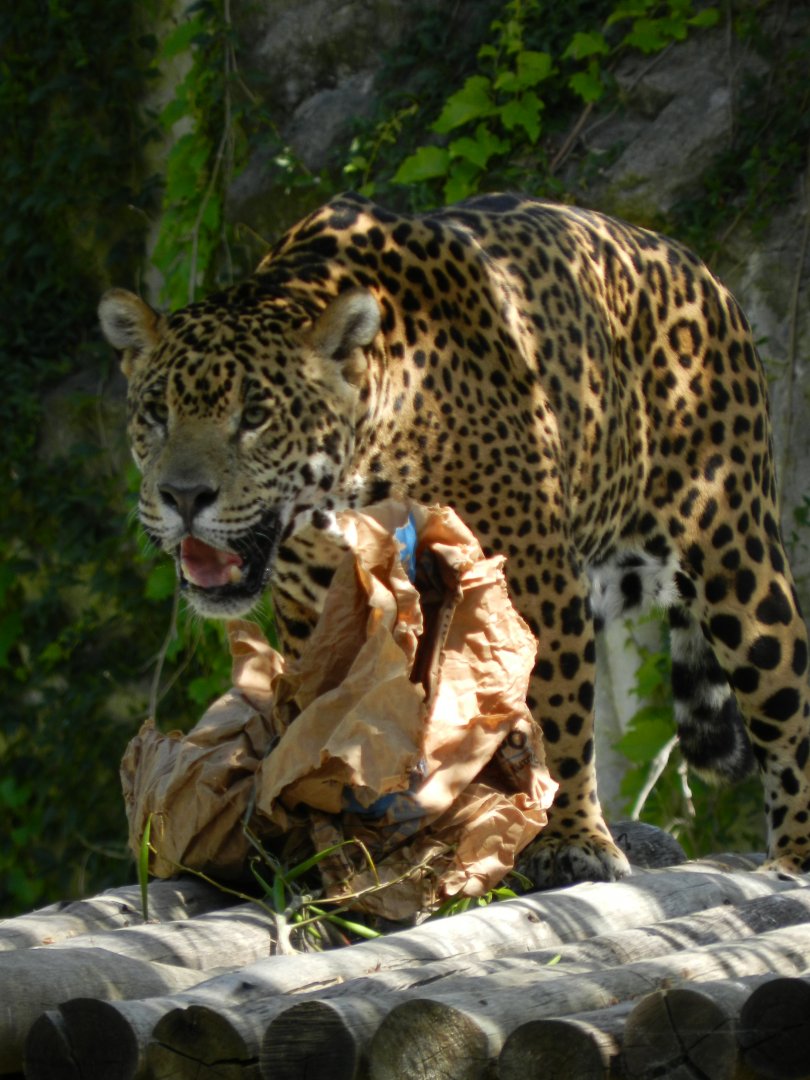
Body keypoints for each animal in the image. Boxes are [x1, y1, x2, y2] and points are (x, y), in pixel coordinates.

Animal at [99, 191, 810, 888]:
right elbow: (325, 713)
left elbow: (559, 712)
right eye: (155, 413)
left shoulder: (538, 575)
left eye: (255, 416)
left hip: (739, 559)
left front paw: (571, 840)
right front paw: (328, 830)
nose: (183, 496)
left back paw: (792, 857)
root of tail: (697, 269)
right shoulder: (318, 611)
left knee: (787, 706)